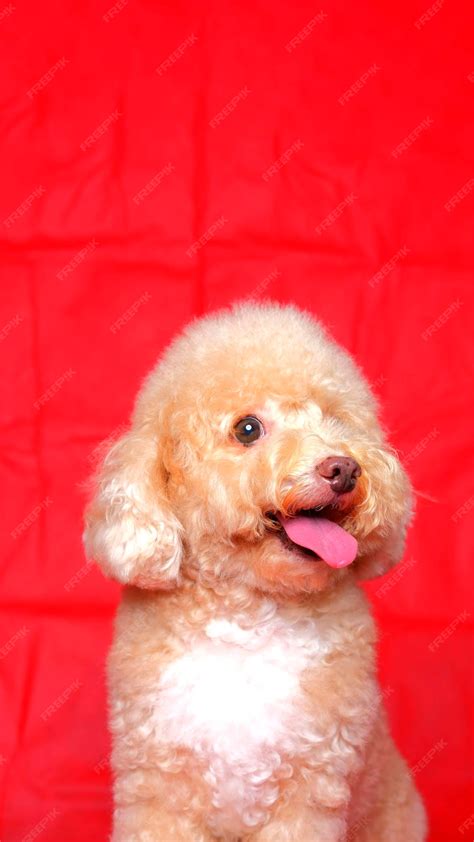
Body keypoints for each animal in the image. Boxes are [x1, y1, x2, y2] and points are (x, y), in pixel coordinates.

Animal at [83, 304, 428, 840]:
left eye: (335, 419)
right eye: (247, 429)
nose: (344, 469)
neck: (246, 618)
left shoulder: (310, 793)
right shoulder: (158, 791)